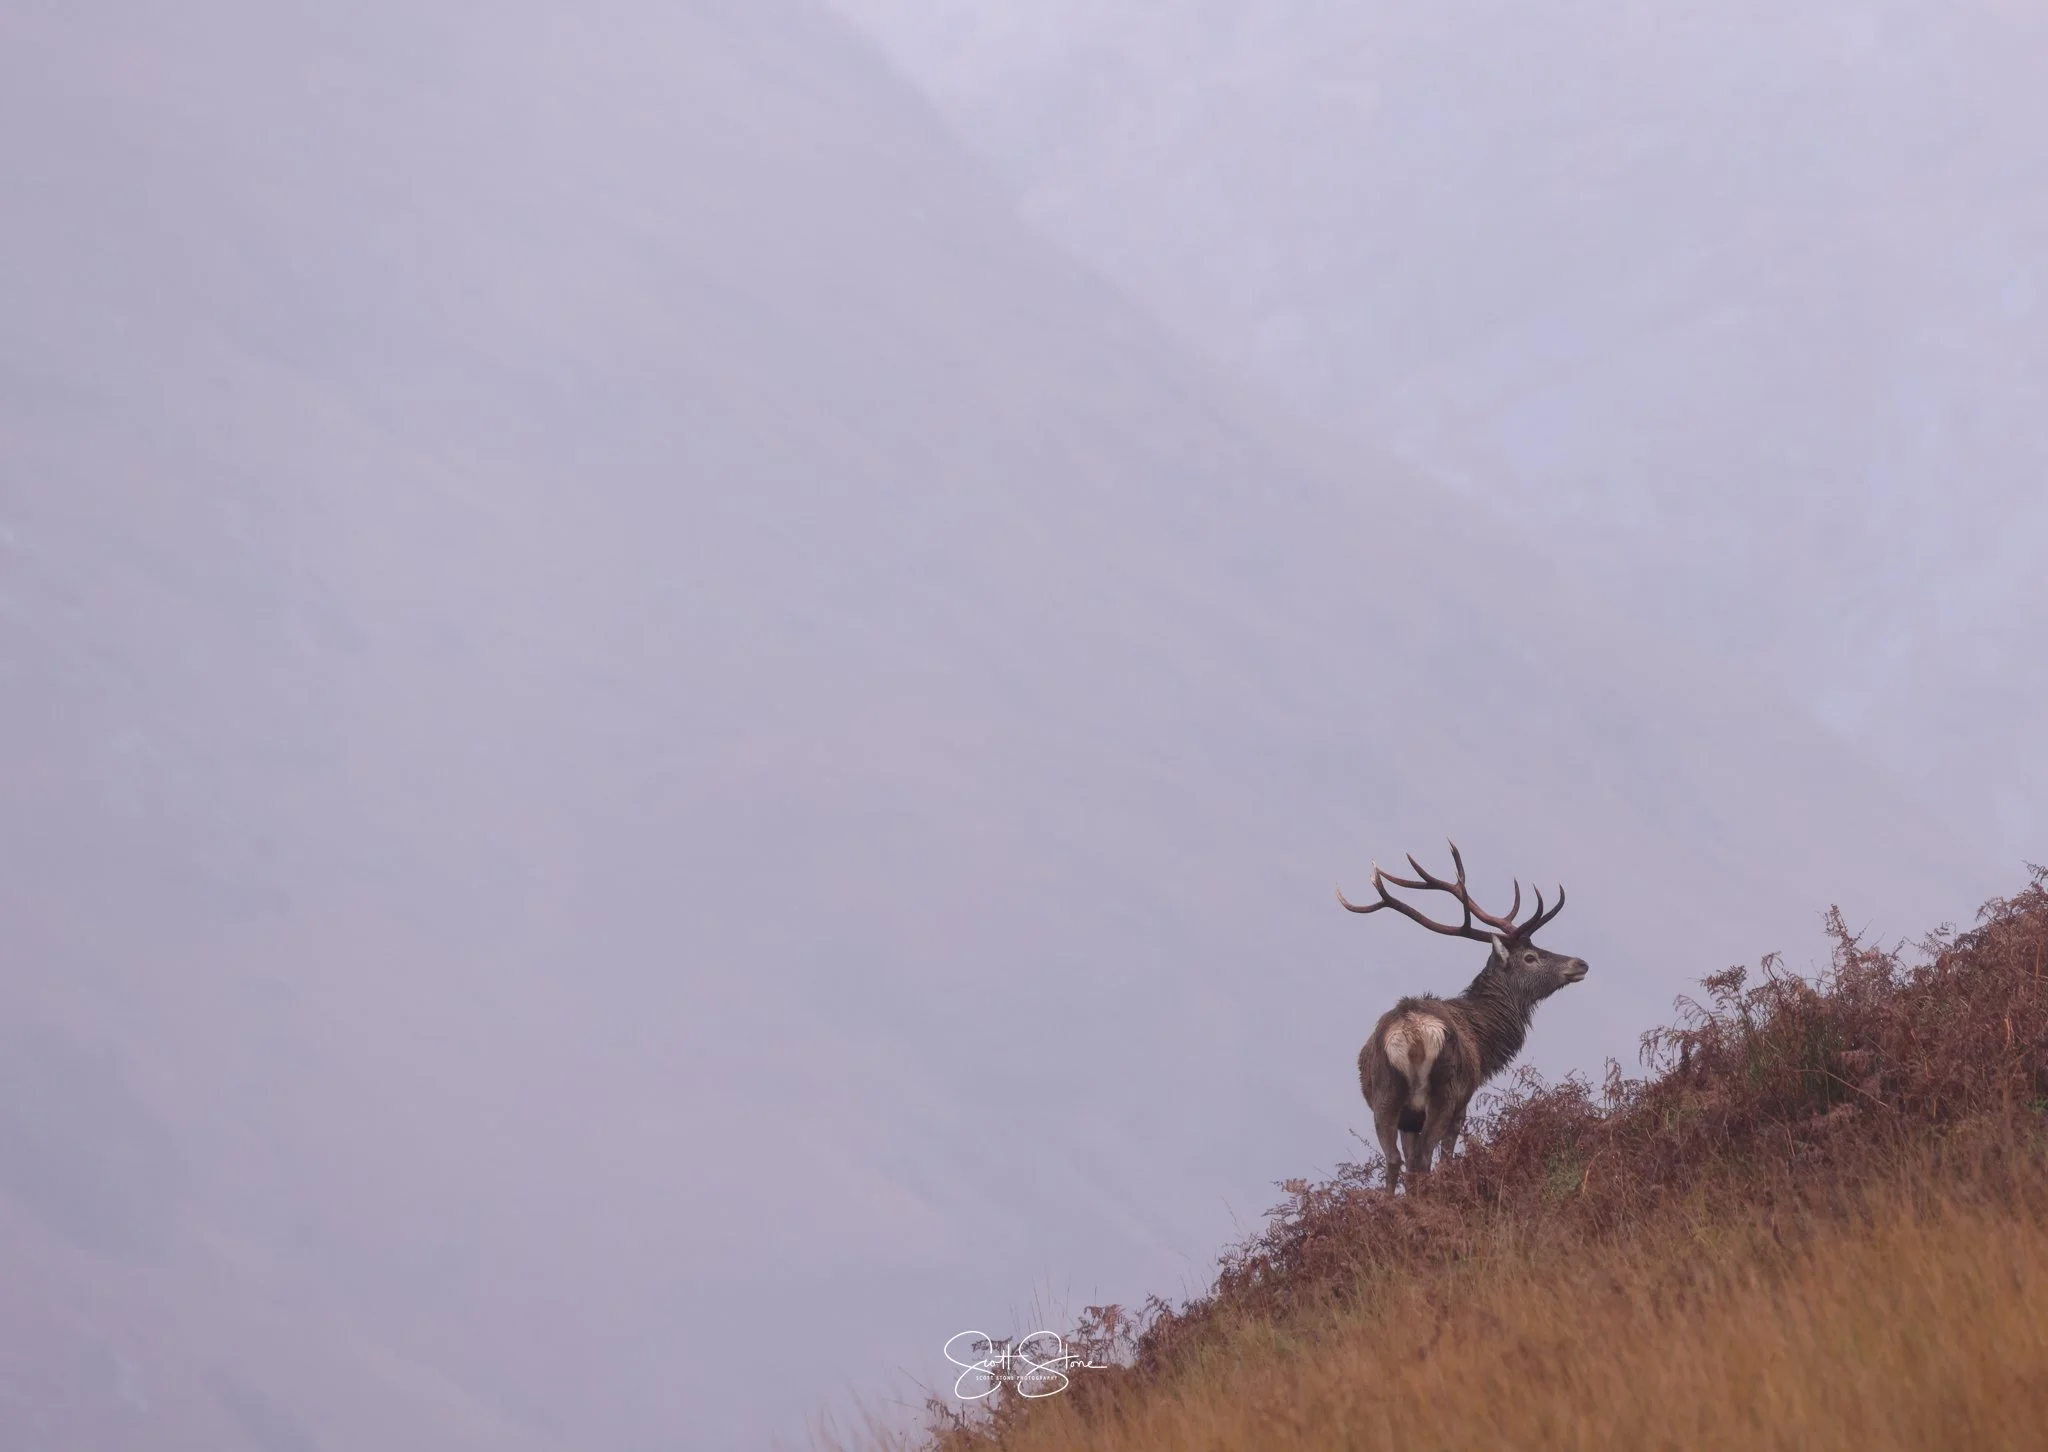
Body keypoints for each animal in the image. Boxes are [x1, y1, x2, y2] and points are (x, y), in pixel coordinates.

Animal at [1339, 842, 1588, 1192]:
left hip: (1384, 1095)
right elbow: (1445, 1157)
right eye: (1530, 957)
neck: (1484, 1040)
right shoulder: (1464, 1101)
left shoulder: (1406, 1119)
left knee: (1395, 1160)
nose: (1580, 963)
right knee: (1424, 1157)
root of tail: (1412, 1031)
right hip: (1444, 1091)